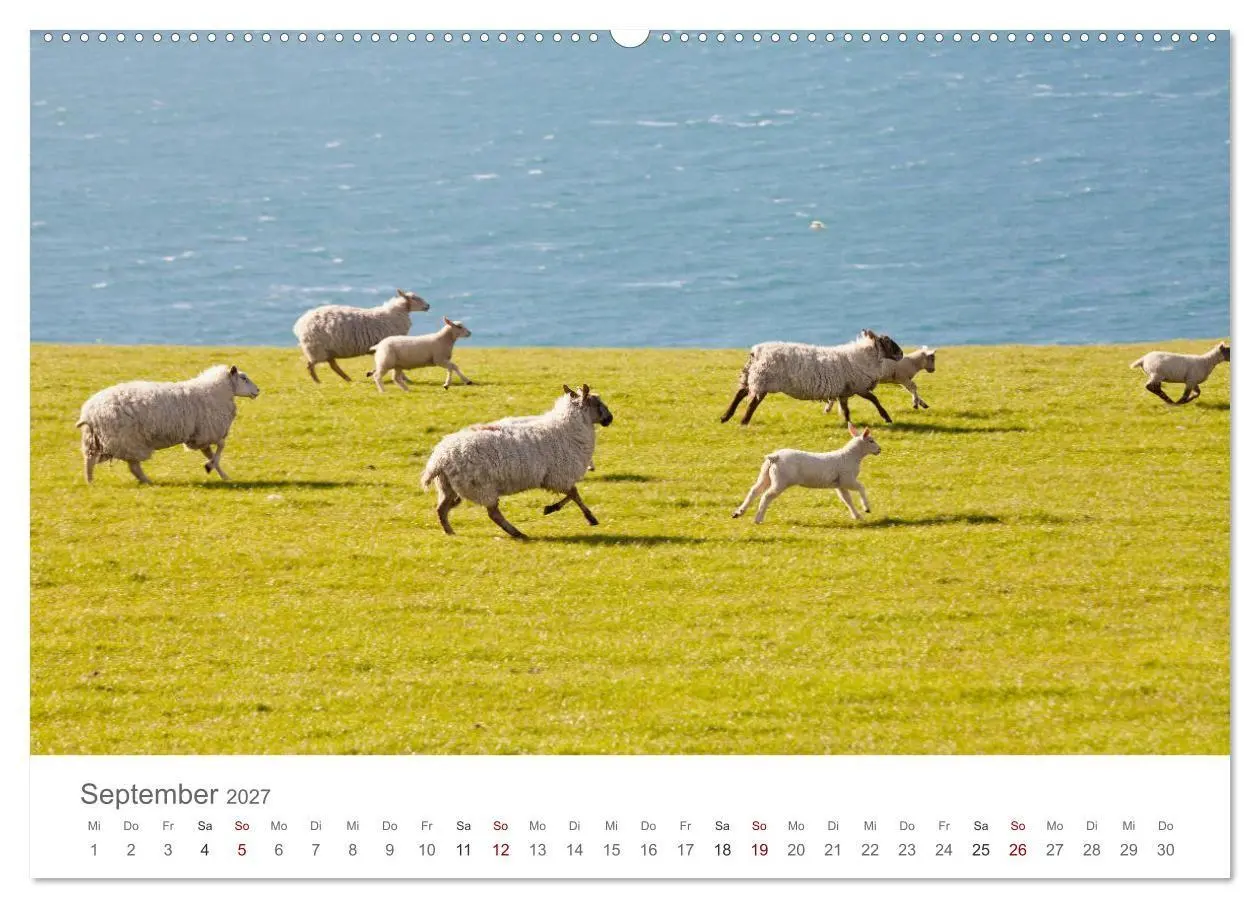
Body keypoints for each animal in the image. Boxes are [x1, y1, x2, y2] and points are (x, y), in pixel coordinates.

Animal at [76, 365, 261, 485]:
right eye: (244, 378)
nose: (258, 391)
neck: (214, 391)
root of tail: (89, 413)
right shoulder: (207, 432)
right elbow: (221, 446)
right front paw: (210, 467)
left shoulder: (199, 436)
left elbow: (211, 453)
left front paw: (223, 475)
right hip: (127, 439)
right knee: (133, 466)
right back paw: (147, 481)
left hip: (96, 440)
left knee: (90, 461)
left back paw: (90, 482)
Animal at [293, 288, 430, 382]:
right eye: (414, 298)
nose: (428, 306)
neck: (395, 314)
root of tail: (300, 324)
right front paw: (404, 378)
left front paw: (372, 373)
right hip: (316, 348)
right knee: (310, 365)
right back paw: (317, 381)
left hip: (326, 350)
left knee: (332, 365)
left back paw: (347, 379)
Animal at [420, 384, 613, 539]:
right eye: (597, 404)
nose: (610, 419)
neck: (567, 427)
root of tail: (440, 458)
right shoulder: (558, 476)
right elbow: (574, 494)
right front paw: (588, 518)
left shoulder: (553, 478)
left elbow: (572, 494)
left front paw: (553, 509)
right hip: (481, 486)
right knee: (493, 513)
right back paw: (517, 533)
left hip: (449, 487)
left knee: (442, 509)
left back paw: (450, 532)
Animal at [720, 329, 904, 426]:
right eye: (888, 342)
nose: (902, 354)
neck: (863, 356)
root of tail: (756, 351)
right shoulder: (859, 386)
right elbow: (875, 400)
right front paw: (887, 418)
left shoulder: (845, 391)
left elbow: (846, 409)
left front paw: (848, 424)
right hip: (763, 380)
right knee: (752, 402)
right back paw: (743, 421)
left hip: (753, 376)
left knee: (741, 393)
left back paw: (725, 417)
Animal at [732, 423, 881, 524]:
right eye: (871, 440)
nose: (880, 450)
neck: (850, 456)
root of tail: (774, 457)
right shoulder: (847, 479)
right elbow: (861, 487)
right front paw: (866, 508)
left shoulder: (839, 483)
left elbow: (847, 500)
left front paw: (857, 516)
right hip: (781, 481)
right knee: (766, 496)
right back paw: (758, 518)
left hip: (766, 475)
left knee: (754, 490)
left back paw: (739, 512)